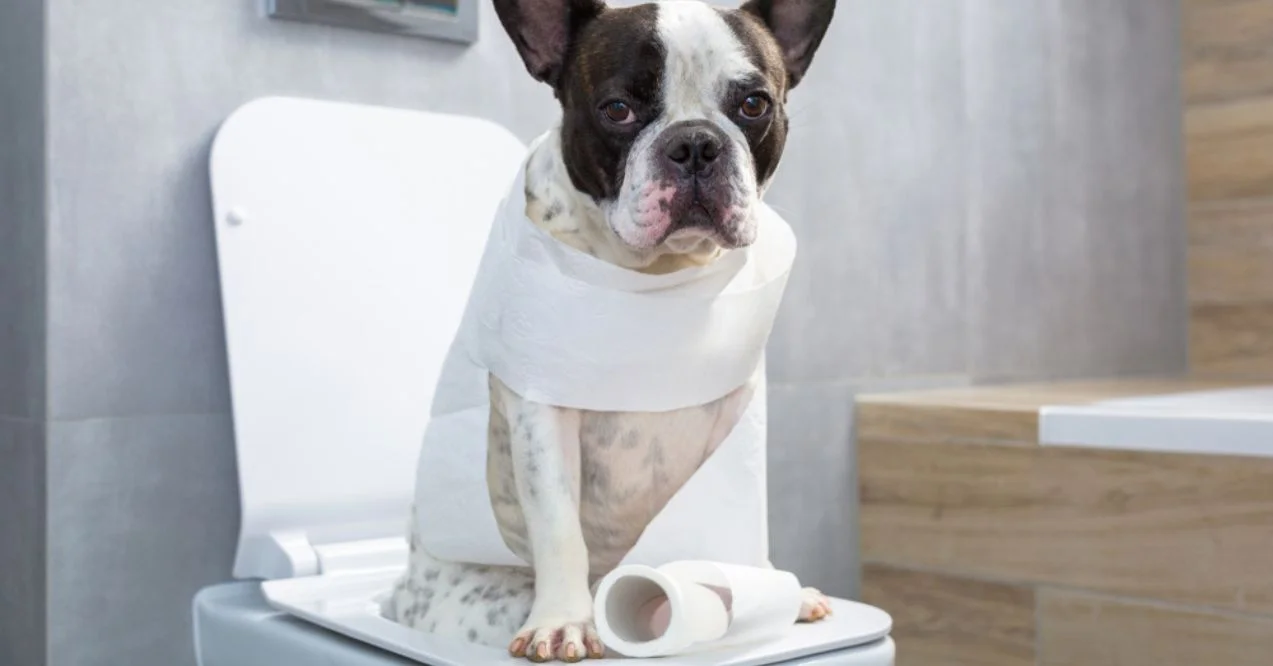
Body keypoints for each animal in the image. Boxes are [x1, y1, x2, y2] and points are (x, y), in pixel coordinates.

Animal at [386, 0, 845, 662]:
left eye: (754, 105)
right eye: (617, 110)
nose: (696, 143)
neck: (657, 276)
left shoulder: (739, 412)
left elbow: (741, 500)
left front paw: (759, 585)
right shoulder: (541, 415)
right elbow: (557, 524)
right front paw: (563, 621)